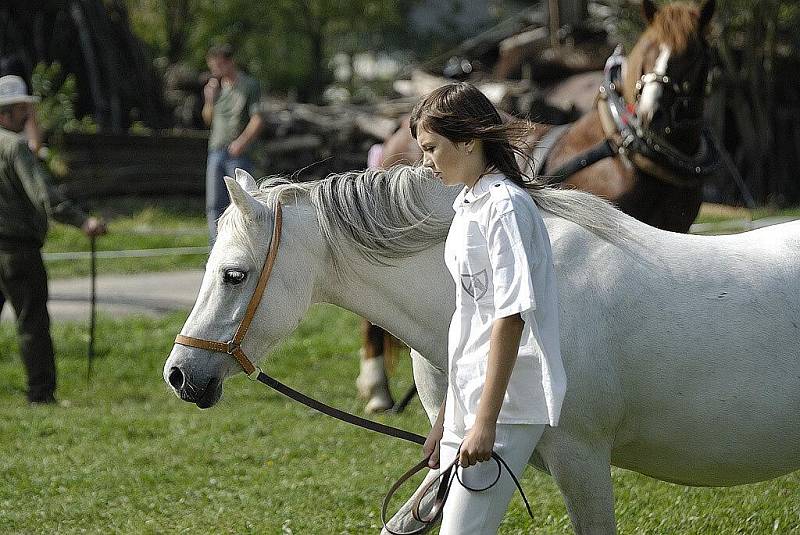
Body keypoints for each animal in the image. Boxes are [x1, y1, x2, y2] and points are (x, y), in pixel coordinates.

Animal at [356, 0, 720, 412]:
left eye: (694, 56)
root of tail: (400, 129)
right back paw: (377, 390)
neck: (628, 154)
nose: (651, 114)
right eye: (646, 54)